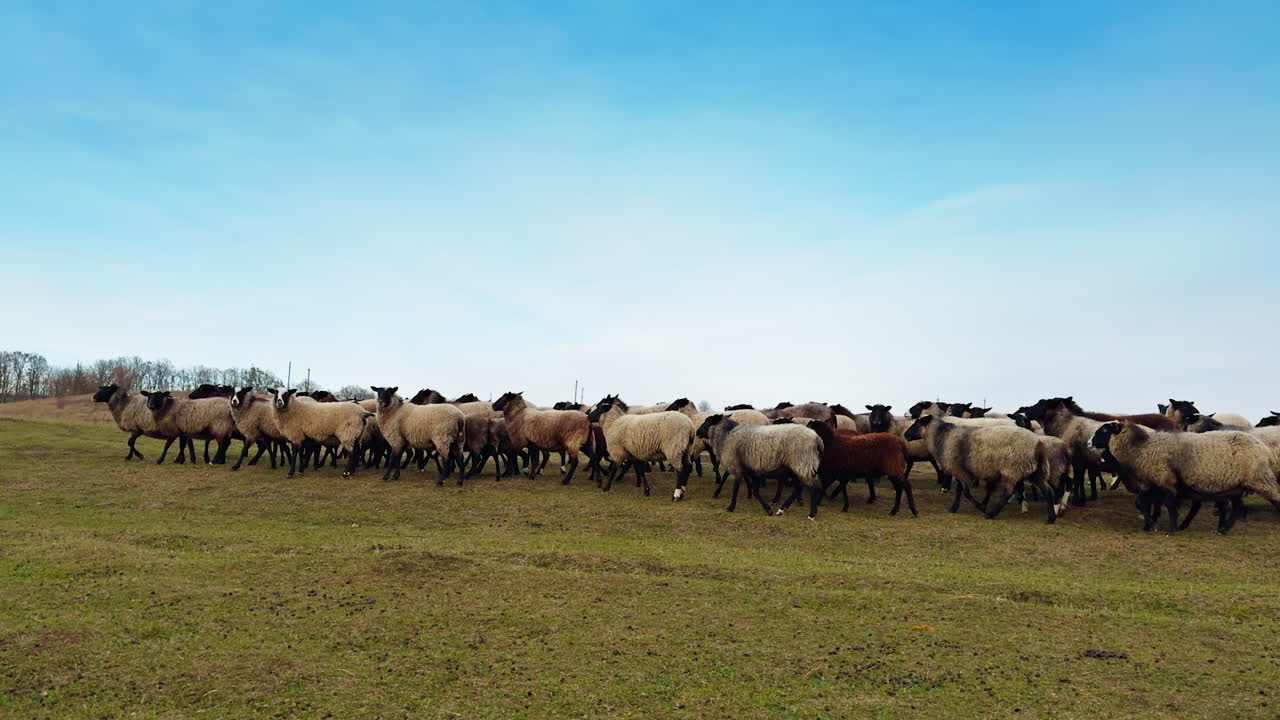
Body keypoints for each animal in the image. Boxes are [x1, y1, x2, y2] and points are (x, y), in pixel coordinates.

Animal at [694, 414, 824, 519]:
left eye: (707, 421)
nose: (697, 432)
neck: (727, 435)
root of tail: (817, 438)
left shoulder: (737, 467)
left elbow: (735, 489)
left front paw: (730, 507)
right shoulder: (752, 470)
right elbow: (755, 491)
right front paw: (768, 509)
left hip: (802, 464)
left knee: (812, 488)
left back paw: (811, 514)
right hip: (798, 467)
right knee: (799, 488)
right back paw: (782, 510)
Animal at [904, 414, 1057, 522]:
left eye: (917, 423)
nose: (905, 435)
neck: (941, 437)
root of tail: (1038, 444)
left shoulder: (959, 469)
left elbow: (966, 492)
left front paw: (981, 507)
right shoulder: (960, 469)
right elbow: (959, 490)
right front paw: (954, 507)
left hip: (1012, 469)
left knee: (1008, 492)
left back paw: (991, 513)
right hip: (1035, 471)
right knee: (1047, 491)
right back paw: (1051, 518)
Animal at [1091, 421, 1280, 534]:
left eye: (1105, 429)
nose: (1089, 442)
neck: (1142, 447)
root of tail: (1264, 448)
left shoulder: (1165, 479)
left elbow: (1170, 505)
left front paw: (1170, 529)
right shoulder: (1152, 483)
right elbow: (1143, 503)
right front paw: (1150, 524)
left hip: (1259, 478)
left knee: (1275, 497)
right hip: (1236, 486)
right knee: (1237, 508)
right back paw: (1223, 529)